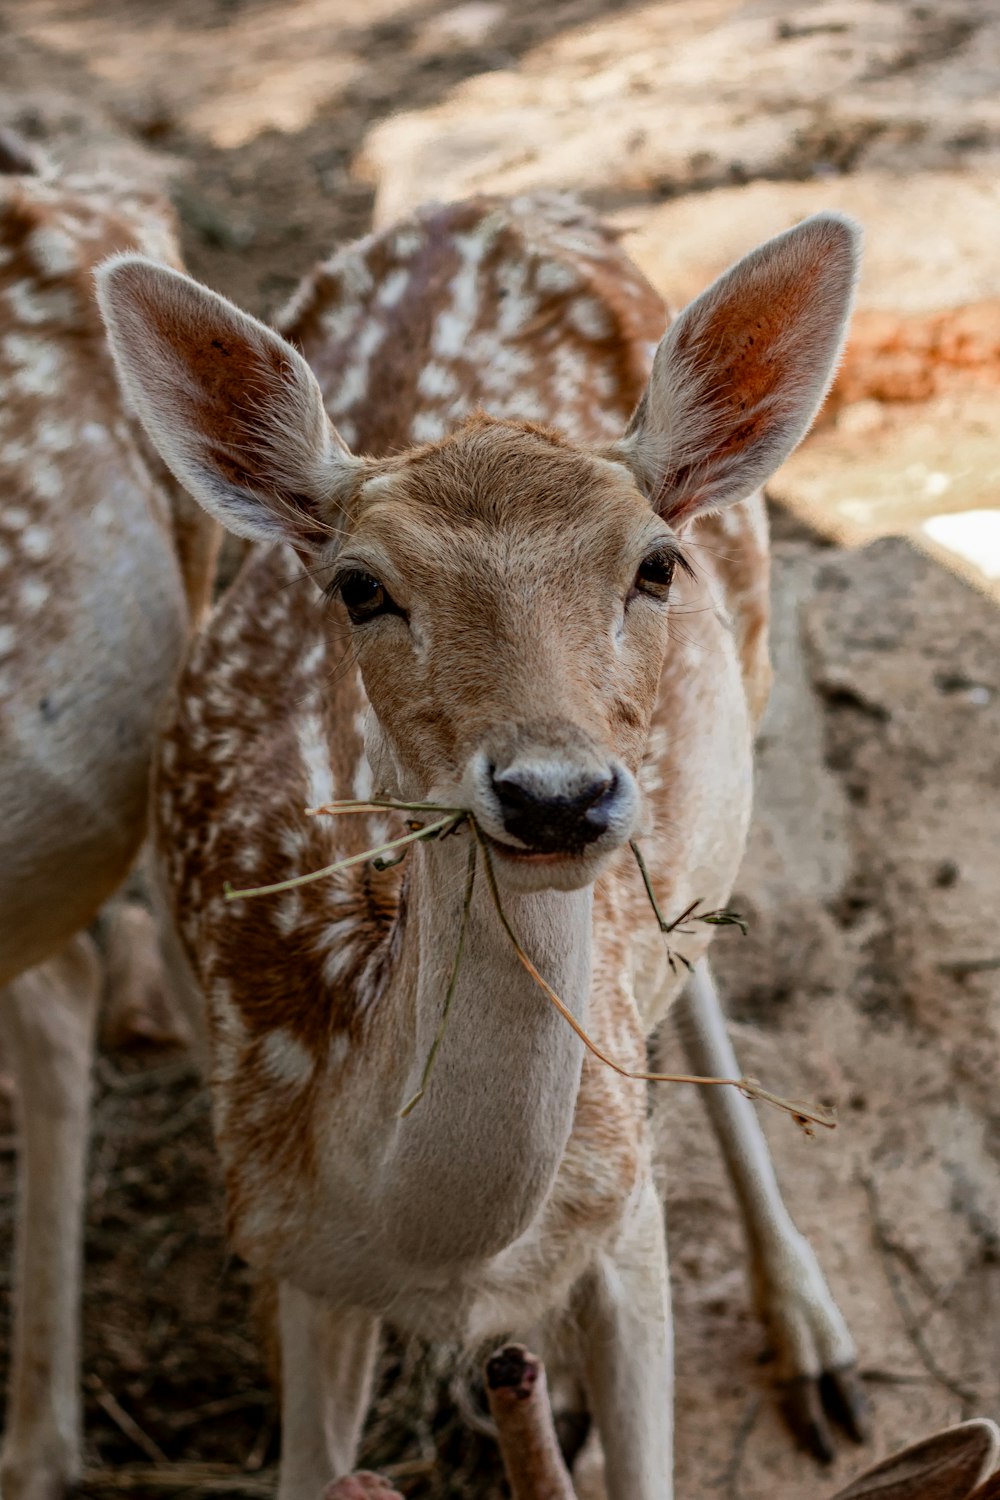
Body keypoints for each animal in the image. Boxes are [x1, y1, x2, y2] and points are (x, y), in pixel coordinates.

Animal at [101, 199, 863, 1500]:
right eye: (359, 586)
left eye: (654, 562)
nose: (554, 794)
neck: (441, 1247)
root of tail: (491, 205)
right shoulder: (290, 1243)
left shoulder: (627, 1218)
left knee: (700, 962)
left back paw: (814, 1341)